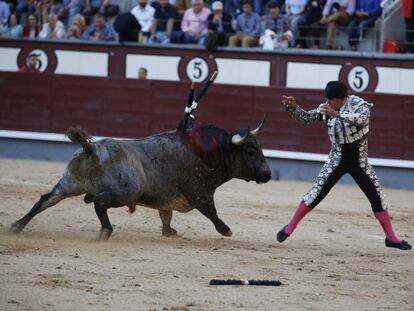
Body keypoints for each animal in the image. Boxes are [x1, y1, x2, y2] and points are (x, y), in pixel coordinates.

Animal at [10, 120, 272, 240]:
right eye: (251, 151)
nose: (268, 174)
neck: (208, 152)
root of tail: (91, 148)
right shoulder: (201, 194)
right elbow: (211, 212)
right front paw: (226, 230)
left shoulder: (167, 197)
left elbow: (166, 215)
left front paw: (169, 232)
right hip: (124, 192)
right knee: (99, 203)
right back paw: (106, 231)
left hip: (68, 184)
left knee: (45, 200)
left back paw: (17, 226)